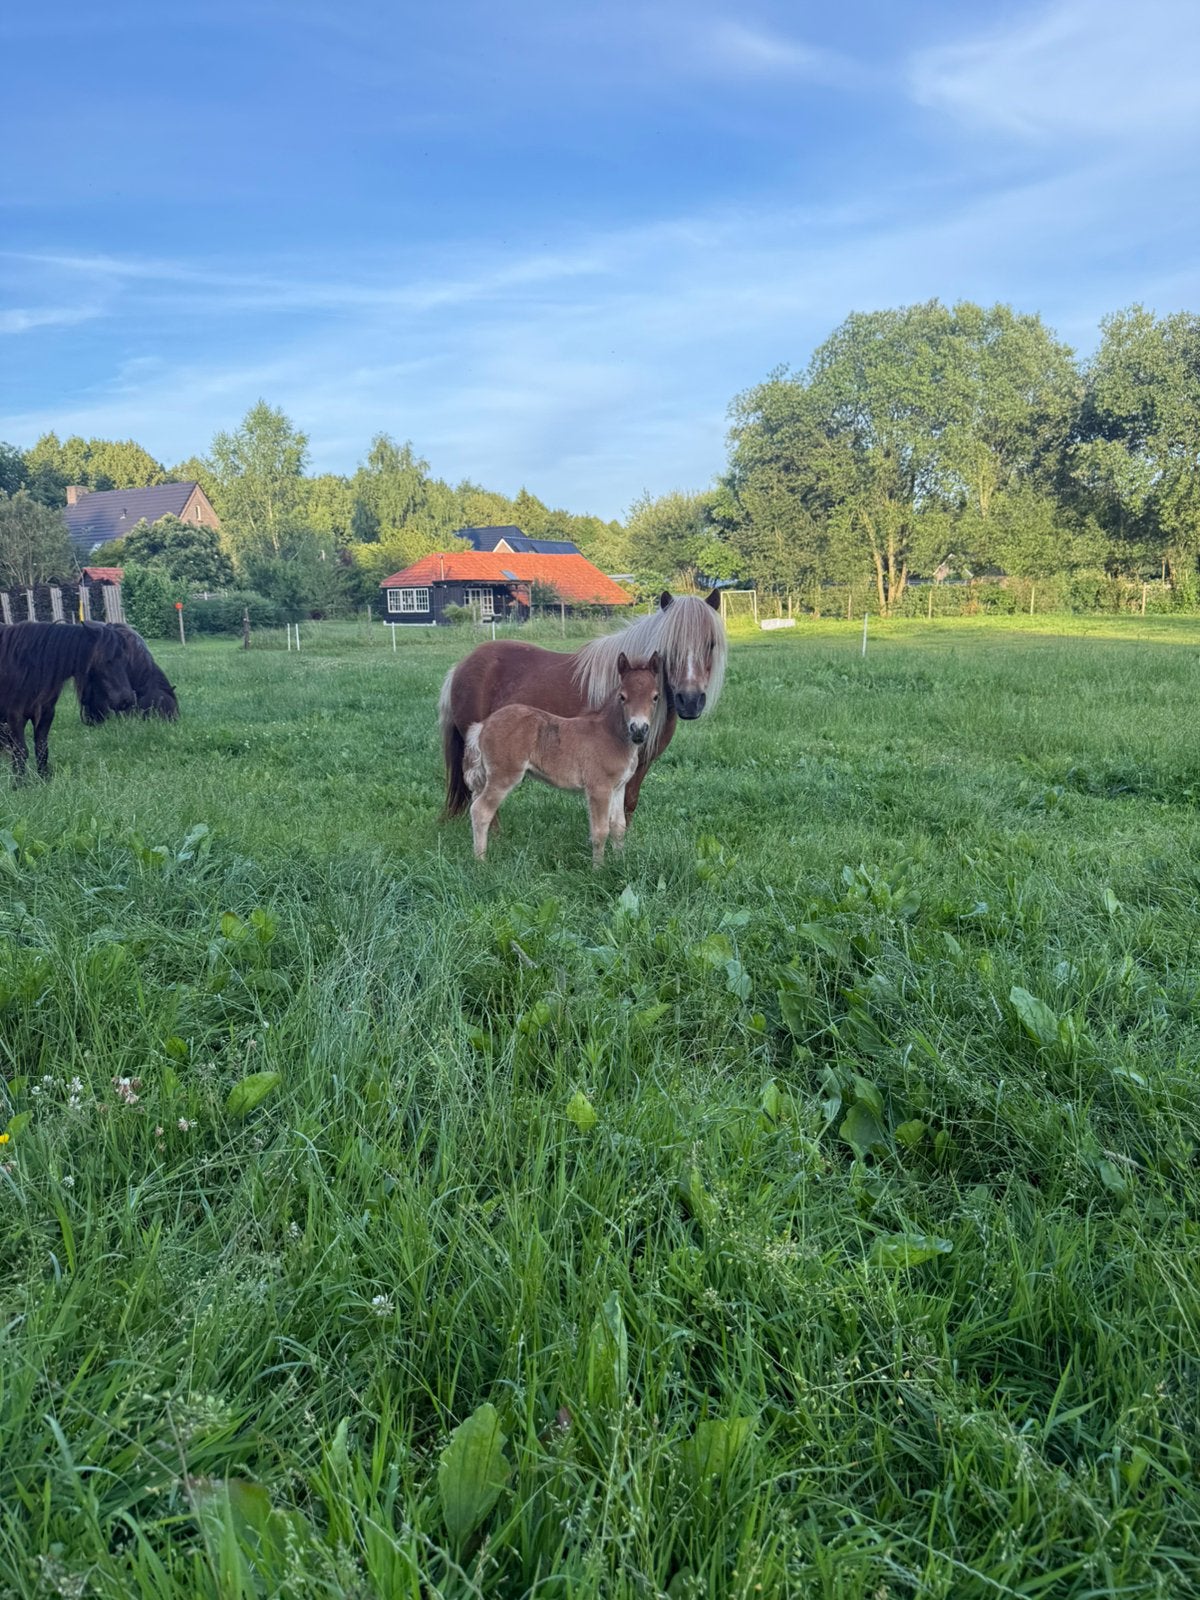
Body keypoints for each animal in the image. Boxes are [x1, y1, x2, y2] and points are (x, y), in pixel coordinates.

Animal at [0, 622, 136, 779]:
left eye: (125, 659)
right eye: (105, 661)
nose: (127, 700)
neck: (25, 667)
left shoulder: (46, 714)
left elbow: (41, 748)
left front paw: (44, 778)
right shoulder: (14, 717)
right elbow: (21, 751)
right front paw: (20, 782)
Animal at [440, 590, 725, 824]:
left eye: (710, 644)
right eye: (671, 647)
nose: (690, 700)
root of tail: (460, 666)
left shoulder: (640, 765)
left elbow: (628, 805)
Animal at [463, 653, 661, 865]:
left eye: (655, 697)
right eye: (622, 696)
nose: (639, 731)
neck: (612, 736)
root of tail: (483, 725)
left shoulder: (618, 787)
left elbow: (618, 826)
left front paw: (619, 862)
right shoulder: (599, 788)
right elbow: (600, 831)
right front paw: (598, 868)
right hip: (504, 776)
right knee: (480, 810)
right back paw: (480, 861)